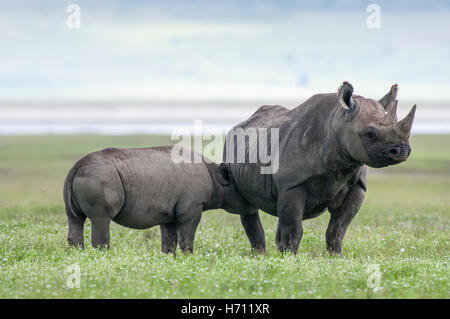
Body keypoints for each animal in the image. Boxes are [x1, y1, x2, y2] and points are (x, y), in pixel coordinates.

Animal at [62, 146, 250, 254]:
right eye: (242, 194)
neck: (216, 178)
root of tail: (75, 167)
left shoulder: (168, 212)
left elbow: (169, 239)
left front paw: (170, 257)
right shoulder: (193, 207)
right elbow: (187, 235)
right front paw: (188, 256)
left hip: (82, 176)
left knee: (75, 218)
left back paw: (78, 255)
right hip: (100, 177)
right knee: (101, 218)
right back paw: (103, 257)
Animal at [223, 82, 416, 258]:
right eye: (369, 134)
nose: (402, 150)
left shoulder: (357, 185)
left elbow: (338, 228)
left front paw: (336, 258)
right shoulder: (292, 184)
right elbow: (294, 228)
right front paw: (289, 260)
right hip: (231, 147)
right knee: (248, 207)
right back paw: (260, 256)